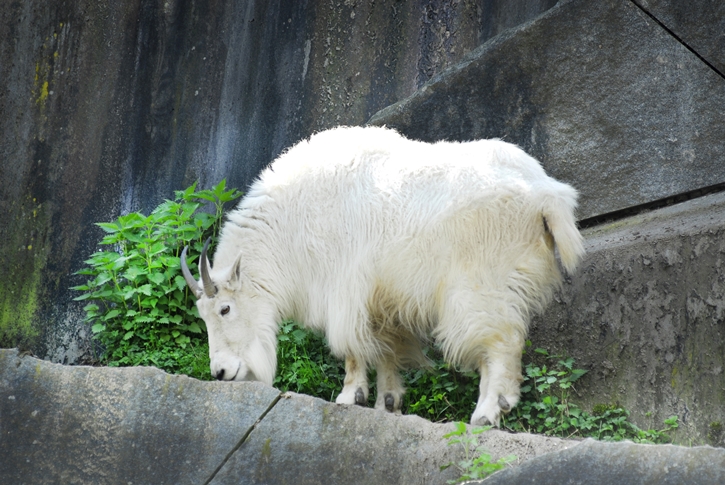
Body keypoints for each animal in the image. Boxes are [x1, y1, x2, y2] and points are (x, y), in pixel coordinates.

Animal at [180, 125, 584, 424]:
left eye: (225, 309)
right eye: (203, 316)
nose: (221, 372)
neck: (291, 220)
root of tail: (546, 193)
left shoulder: (343, 287)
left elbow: (350, 346)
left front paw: (349, 396)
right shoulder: (383, 297)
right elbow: (387, 346)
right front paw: (387, 402)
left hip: (482, 283)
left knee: (501, 341)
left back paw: (488, 411)